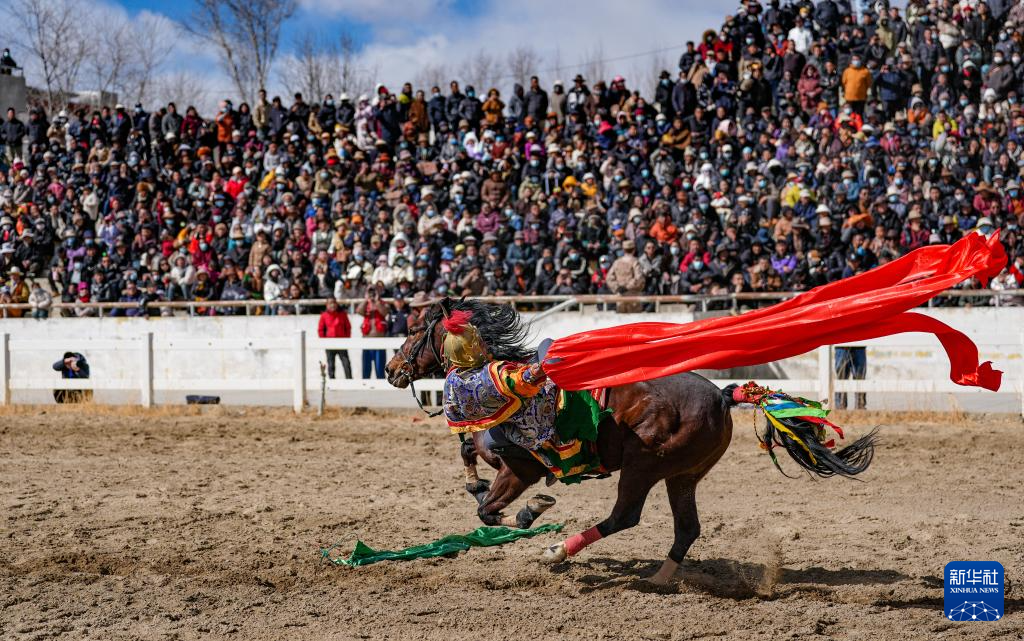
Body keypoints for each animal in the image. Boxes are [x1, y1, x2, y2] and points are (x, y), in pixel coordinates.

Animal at [385, 296, 872, 581]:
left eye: (413, 330)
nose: (391, 368)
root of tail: (722, 395)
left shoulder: (519, 467)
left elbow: (489, 507)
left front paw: (528, 513)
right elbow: (470, 456)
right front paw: (480, 486)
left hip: (642, 467)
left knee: (624, 517)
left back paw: (557, 551)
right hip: (682, 476)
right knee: (687, 527)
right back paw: (662, 578)